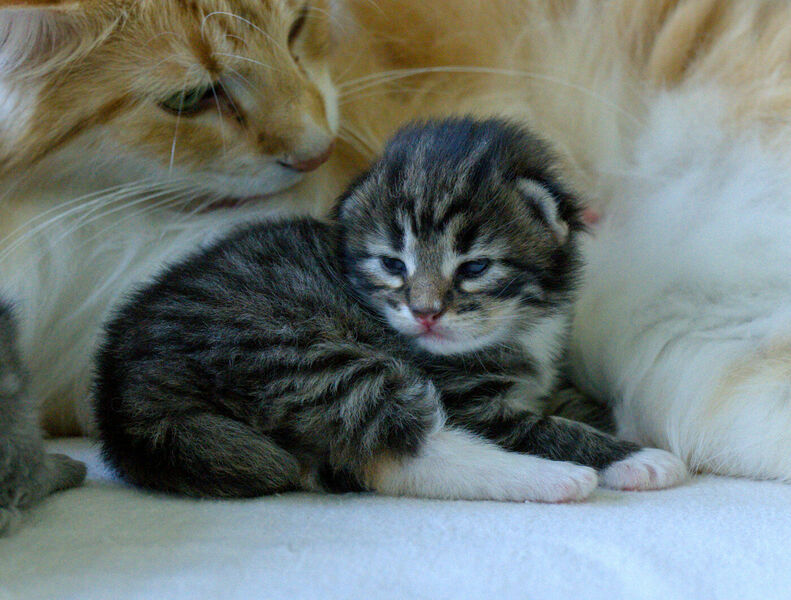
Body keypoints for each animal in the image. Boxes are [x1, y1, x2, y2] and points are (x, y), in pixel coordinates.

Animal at [93, 119, 688, 504]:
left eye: (474, 267)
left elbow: (570, 399)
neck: (514, 330)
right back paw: (557, 480)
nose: (424, 313)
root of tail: (121, 396)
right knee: (407, 451)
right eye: (393, 264)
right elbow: (539, 425)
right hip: (301, 353)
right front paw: (630, 455)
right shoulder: (467, 399)